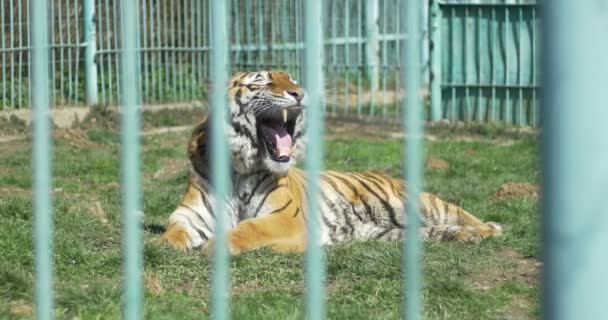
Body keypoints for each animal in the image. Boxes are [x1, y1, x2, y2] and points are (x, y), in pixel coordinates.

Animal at [160, 70, 498, 255]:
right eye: (263, 82)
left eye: (291, 79)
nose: (299, 93)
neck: (240, 168)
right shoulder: (190, 214)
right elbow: (171, 233)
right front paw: (168, 245)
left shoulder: (285, 219)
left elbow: (248, 229)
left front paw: (213, 247)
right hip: (387, 231)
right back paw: (462, 236)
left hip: (415, 203)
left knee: (461, 213)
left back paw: (486, 230)